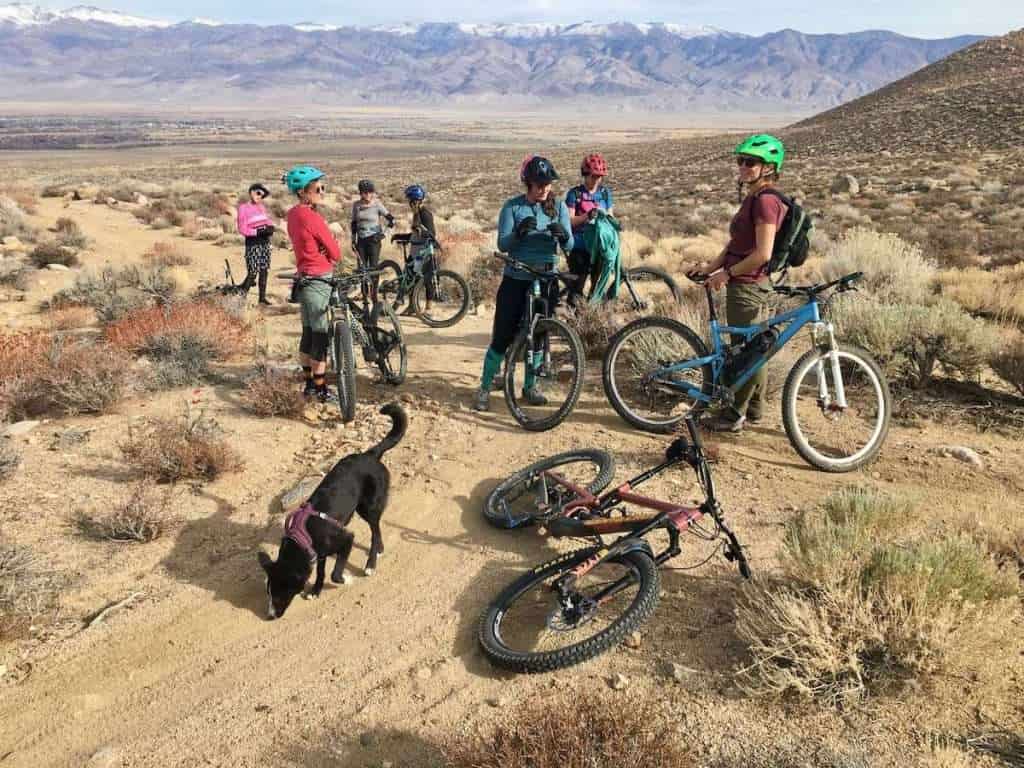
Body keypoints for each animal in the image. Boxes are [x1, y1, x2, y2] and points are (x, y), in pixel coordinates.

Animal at [258, 403, 405, 618]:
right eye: (268, 594)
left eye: (278, 596)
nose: (270, 616)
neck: (303, 536)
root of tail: (369, 454)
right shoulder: (318, 553)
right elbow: (321, 572)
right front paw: (316, 591)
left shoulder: (346, 539)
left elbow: (335, 574)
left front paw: (345, 579)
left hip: (368, 508)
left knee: (375, 530)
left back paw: (371, 563)